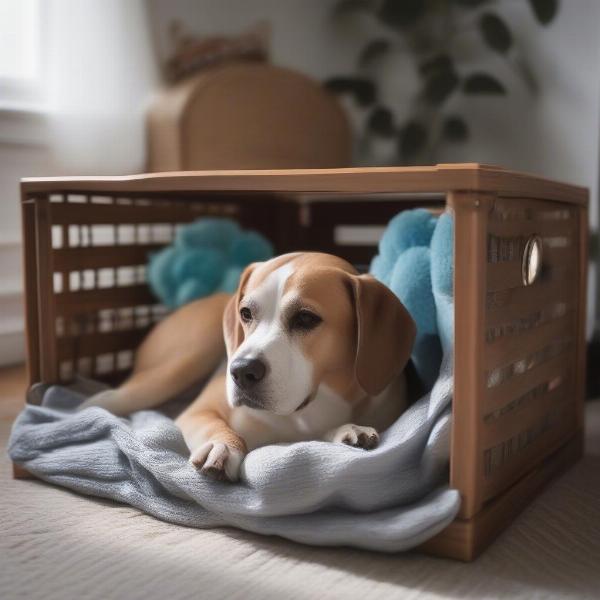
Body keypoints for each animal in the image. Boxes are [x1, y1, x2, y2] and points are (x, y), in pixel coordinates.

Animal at [79, 253, 414, 482]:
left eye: (306, 318)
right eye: (246, 313)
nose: (240, 371)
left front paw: (350, 430)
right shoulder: (200, 410)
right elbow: (217, 426)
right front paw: (222, 446)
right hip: (183, 361)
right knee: (103, 399)